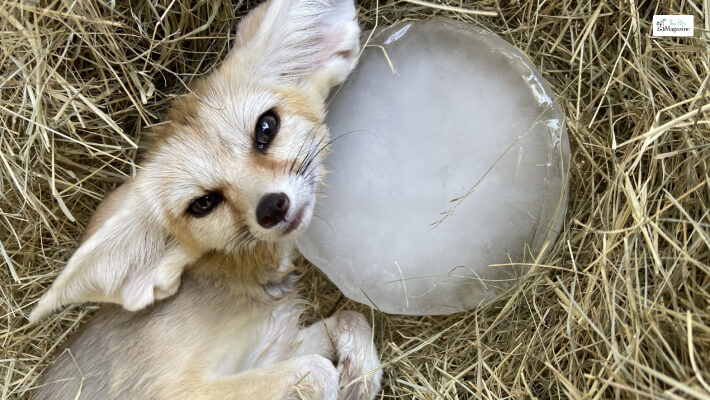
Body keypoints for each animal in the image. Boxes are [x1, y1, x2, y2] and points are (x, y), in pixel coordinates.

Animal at [29, 1, 384, 398]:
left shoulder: (274, 344)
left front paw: (360, 374)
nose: (272, 208)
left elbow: (352, 319)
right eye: (202, 204)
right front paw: (345, 383)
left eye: (266, 127)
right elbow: (319, 371)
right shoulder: (185, 388)